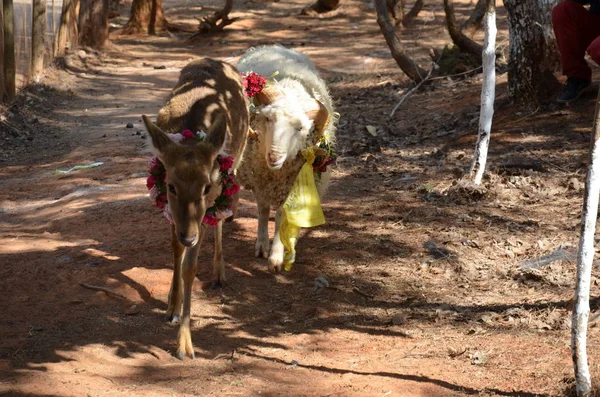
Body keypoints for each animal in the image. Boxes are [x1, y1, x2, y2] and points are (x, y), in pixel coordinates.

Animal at [143, 58, 248, 358]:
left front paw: (185, 346)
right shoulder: (170, 210)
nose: (189, 236)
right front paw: (171, 306)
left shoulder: (207, 203)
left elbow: (190, 266)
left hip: (235, 165)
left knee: (221, 219)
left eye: (205, 186)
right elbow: (175, 249)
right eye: (170, 186)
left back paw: (219, 272)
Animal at [236, 44, 338, 270]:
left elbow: (282, 218)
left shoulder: (290, 185)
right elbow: (263, 210)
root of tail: (274, 46)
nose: (274, 156)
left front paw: (277, 255)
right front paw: (263, 245)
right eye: (267, 118)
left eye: (300, 128)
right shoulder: (260, 181)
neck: (275, 175)